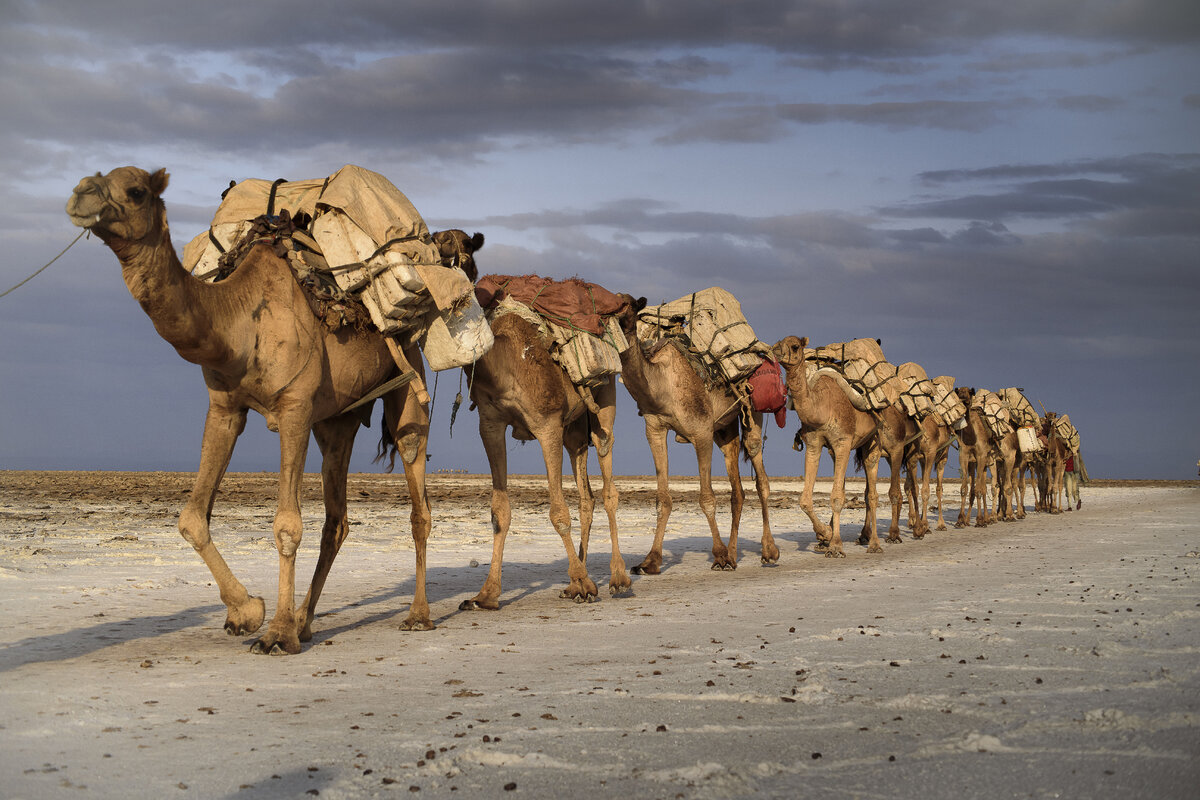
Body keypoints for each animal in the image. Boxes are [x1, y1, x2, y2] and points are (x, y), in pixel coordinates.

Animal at [66, 169, 436, 657]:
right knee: (336, 520)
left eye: (136, 191)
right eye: (95, 177)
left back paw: (417, 615)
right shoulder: (225, 407)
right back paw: (306, 621)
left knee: (417, 495)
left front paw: (275, 633)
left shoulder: (295, 409)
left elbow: (286, 526)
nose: (79, 196)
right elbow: (192, 518)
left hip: (407, 373)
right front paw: (247, 613)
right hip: (336, 420)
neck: (239, 321)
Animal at [453, 297, 633, 609]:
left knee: (608, 477)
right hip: (574, 430)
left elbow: (558, 512)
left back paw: (617, 578)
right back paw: (575, 582)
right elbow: (499, 512)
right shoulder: (490, 424)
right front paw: (485, 595)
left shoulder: (547, 425)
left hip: (604, 400)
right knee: (586, 495)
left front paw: (585, 583)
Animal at [614, 297, 782, 573]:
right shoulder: (655, 430)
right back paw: (734, 555)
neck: (662, 384)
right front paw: (650, 561)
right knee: (737, 490)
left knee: (760, 476)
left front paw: (719, 556)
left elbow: (707, 498)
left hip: (752, 409)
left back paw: (768, 551)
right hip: (724, 429)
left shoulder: (701, 432)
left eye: (627, 310)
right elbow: (663, 499)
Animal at [772, 335, 897, 556]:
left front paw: (836, 546)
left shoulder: (843, 442)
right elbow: (805, 499)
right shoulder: (814, 444)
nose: (775, 350)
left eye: (794, 346)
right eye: (778, 342)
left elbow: (837, 497)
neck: (821, 407)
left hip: (874, 440)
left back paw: (874, 544)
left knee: (872, 493)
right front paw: (825, 535)